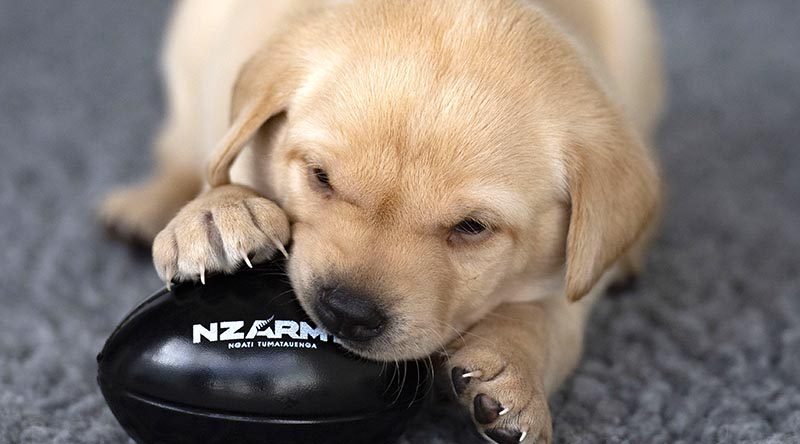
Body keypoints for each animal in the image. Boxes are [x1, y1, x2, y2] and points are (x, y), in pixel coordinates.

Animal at [100, 0, 664, 440]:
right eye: (321, 177)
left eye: (472, 228)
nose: (346, 312)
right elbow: (224, 160)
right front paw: (219, 210)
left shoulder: (577, 271)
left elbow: (549, 315)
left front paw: (514, 366)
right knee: (178, 142)